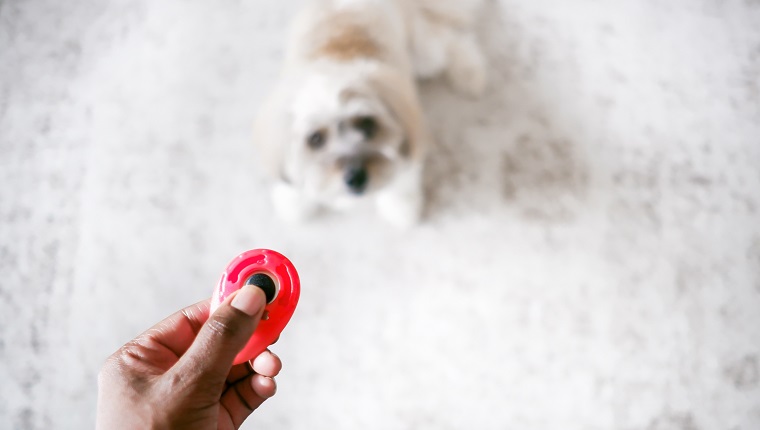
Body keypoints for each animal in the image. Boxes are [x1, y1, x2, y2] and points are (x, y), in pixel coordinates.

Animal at [252, 0, 484, 227]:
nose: (356, 178)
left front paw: (400, 209)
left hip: (423, 55)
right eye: (315, 139)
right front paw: (295, 202)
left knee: (450, 41)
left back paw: (471, 74)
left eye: (367, 124)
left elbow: (400, 185)